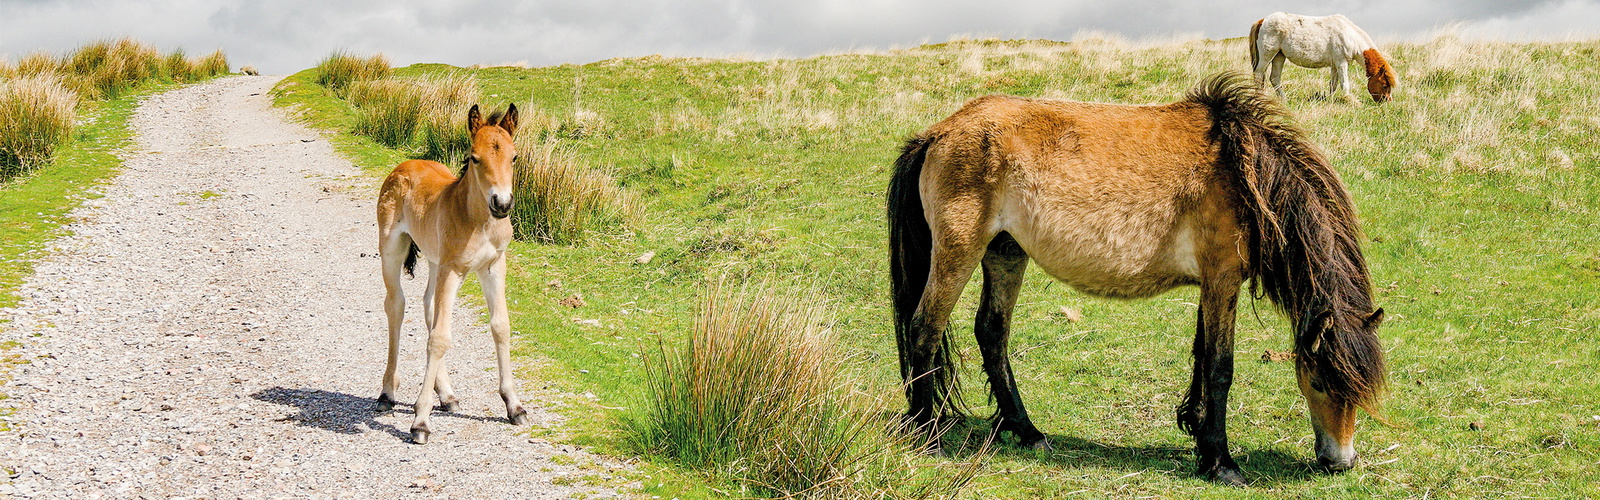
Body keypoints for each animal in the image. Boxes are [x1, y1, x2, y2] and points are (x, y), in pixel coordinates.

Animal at [375, 104, 525, 444]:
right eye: (474, 157)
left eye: (514, 157)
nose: (502, 203)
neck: (477, 220)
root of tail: (405, 164)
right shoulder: (452, 269)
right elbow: (441, 338)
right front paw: (420, 422)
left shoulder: (493, 266)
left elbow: (501, 326)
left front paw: (514, 405)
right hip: (392, 248)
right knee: (396, 305)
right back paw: (388, 393)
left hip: (434, 261)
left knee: (428, 307)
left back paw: (447, 396)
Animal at [886, 73, 1386, 486]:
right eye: (1319, 382)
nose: (1341, 462)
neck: (1244, 173)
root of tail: (937, 134)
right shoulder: (1224, 278)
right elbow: (1220, 368)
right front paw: (1222, 464)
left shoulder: (1211, 284)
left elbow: (1202, 358)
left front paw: (1198, 434)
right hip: (960, 250)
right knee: (924, 329)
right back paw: (928, 436)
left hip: (1006, 252)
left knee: (992, 332)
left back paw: (1027, 432)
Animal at [1250, 12, 1398, 103]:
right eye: (1384, 85)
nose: (1387, 102)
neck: (1349, 35)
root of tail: (1262, 21)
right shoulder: (1342, 62)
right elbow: (1345, 84)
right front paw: (1349, 100)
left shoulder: (1335, 65)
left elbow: (1333, 84)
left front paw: (1330, 100)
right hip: (1267, 55)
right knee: (1258, 74)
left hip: (1279, 56)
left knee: (1274, 78)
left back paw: (1284, 99)